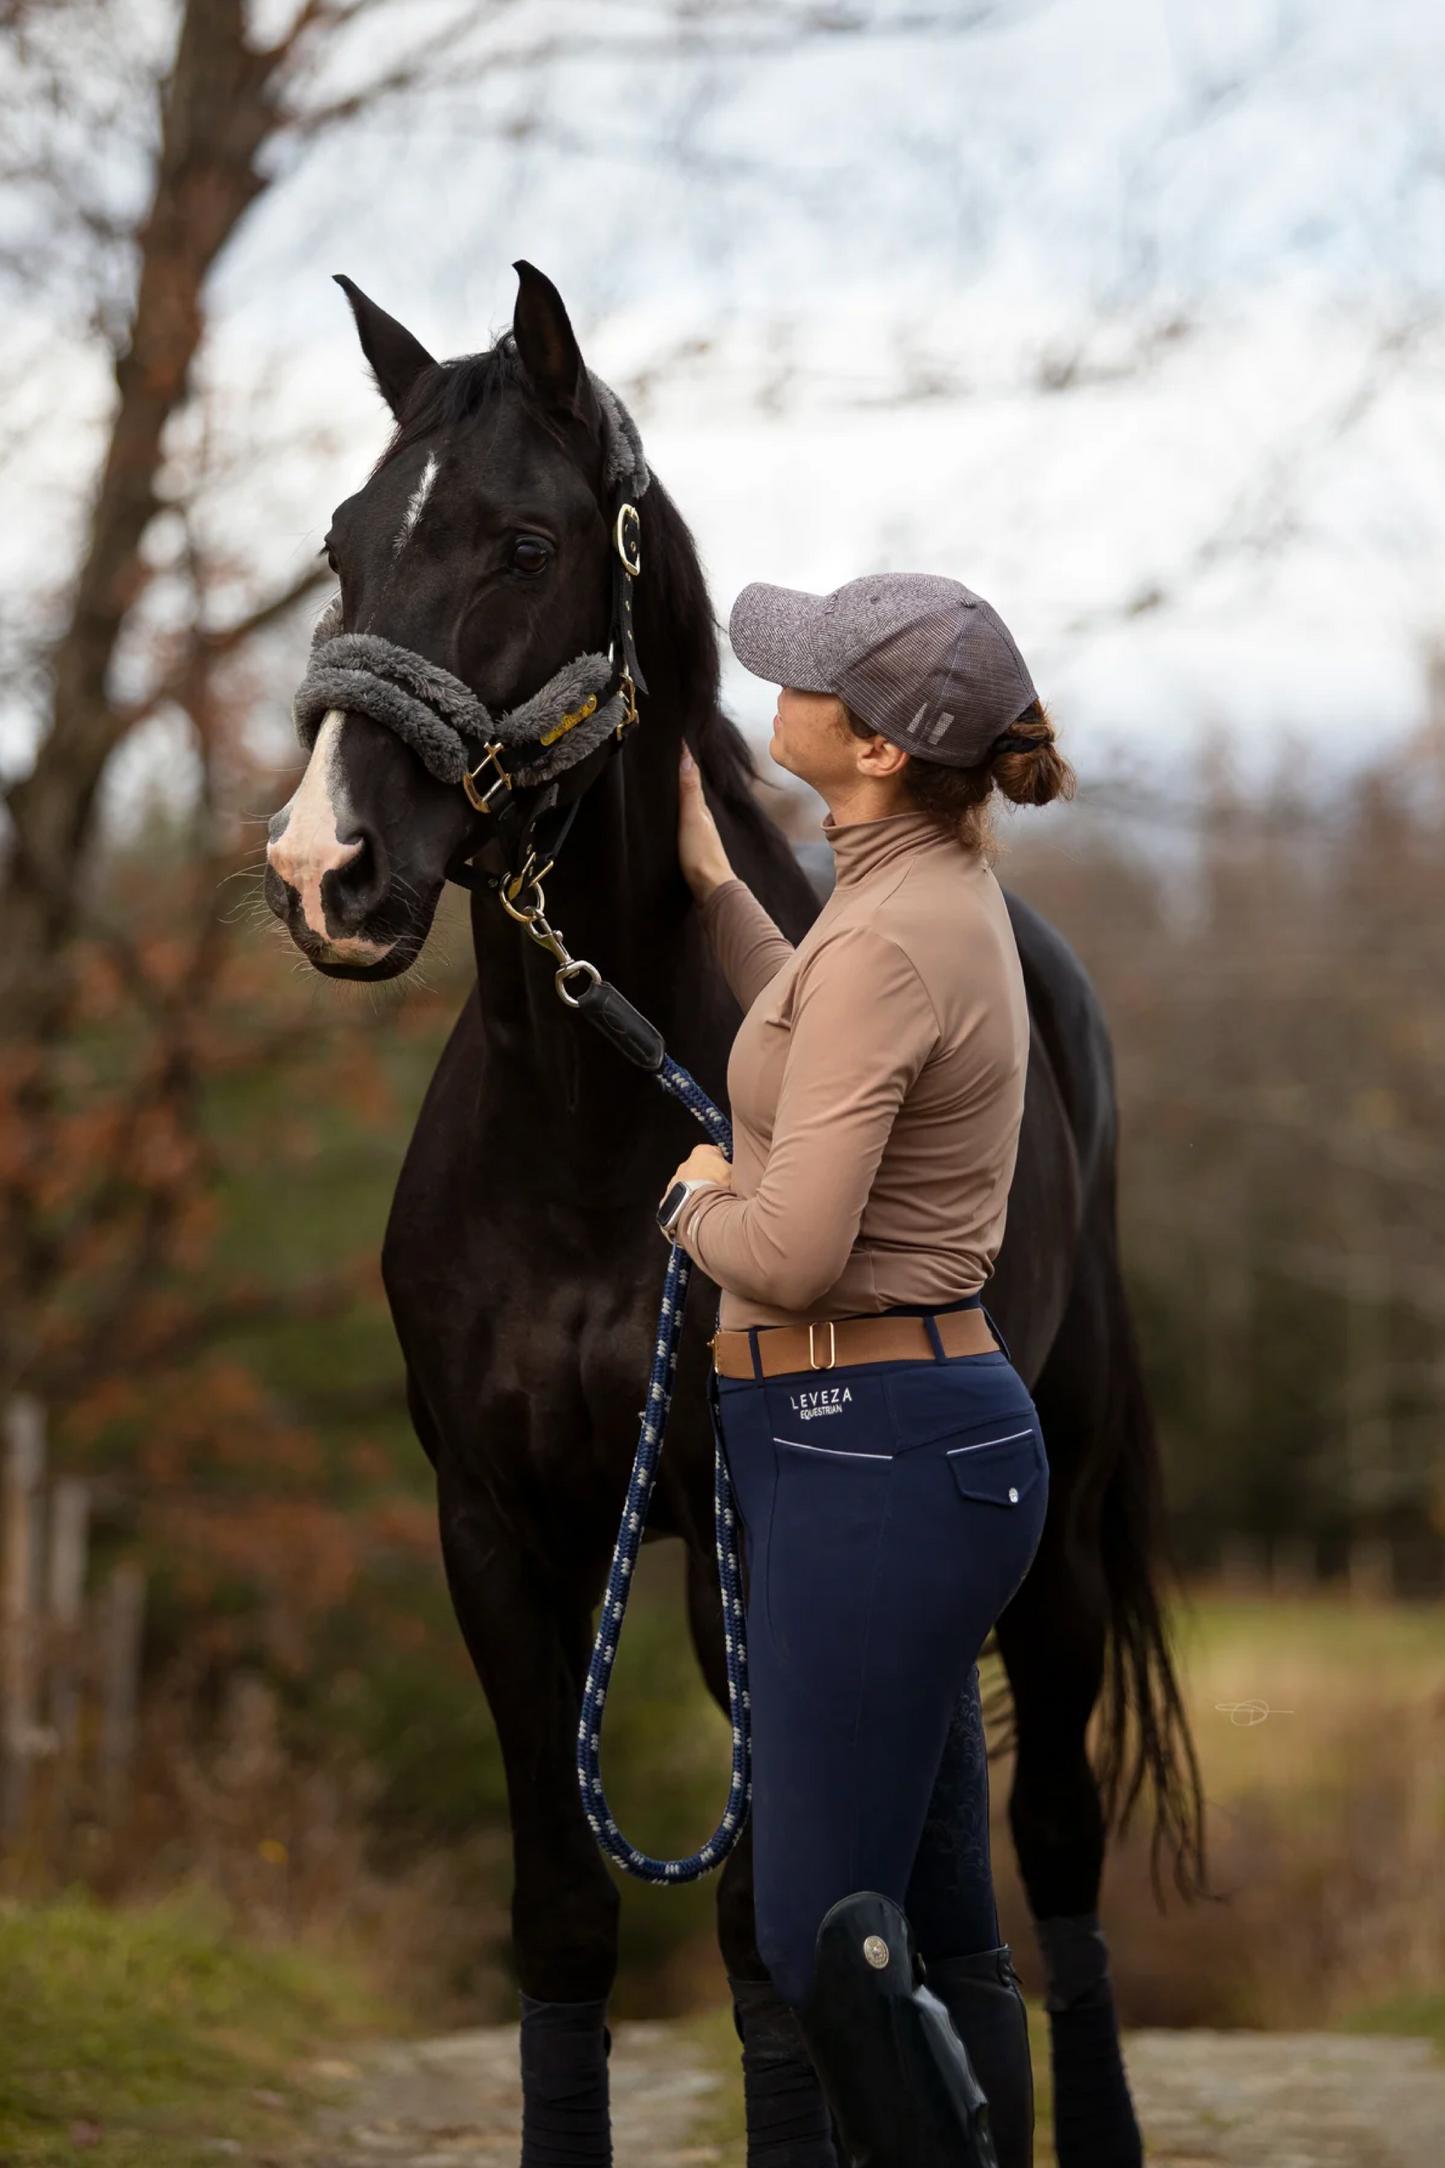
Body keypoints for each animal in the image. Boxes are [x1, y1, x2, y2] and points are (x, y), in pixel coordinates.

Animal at [265, 262, 1204, 2159]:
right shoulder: (496, 1533)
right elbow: (567, 1909)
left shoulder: (745, 1541)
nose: (324, 871)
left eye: (523, 540)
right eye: (341, 543)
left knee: (1055, 1843)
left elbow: (764, 1934)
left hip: (1058, 1545)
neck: (587, 1132)